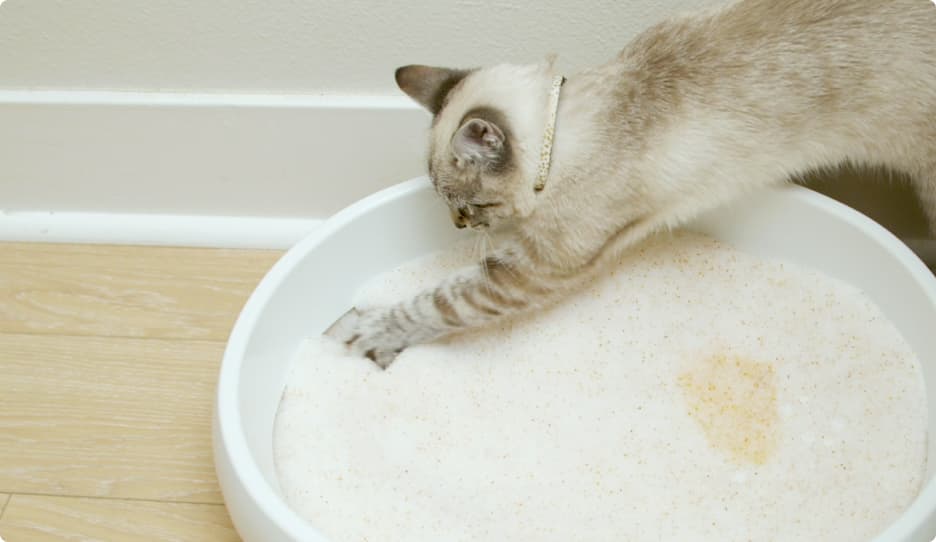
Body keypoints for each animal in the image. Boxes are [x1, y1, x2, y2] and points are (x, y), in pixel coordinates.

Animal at [330, 0, 936, 368]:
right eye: (453, 207)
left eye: (469, 204)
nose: (458, 226)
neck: (575, 125)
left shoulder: (536, 267)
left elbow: (441, 301)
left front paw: (370, 332)